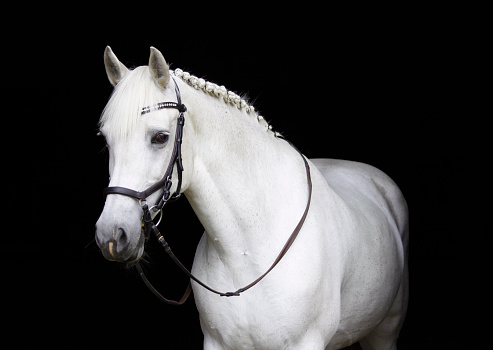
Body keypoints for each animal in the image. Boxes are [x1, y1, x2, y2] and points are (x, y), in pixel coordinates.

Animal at [93, 47, 408, 350]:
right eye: (106, 140)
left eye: (160, 137)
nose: (112, 235)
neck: (244, 252)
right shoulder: (216, 343)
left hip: (385, 331)